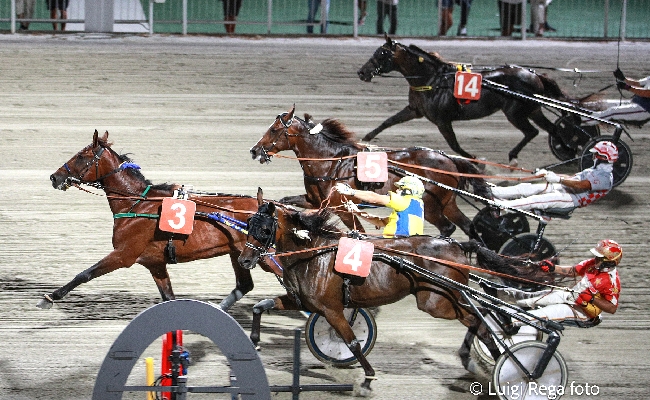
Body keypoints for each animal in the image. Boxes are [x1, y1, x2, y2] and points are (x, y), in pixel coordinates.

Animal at [40, 130, 274, 310]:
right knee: (244, 285)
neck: (136, 205)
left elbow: (84, 275)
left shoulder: (124, 254)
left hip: (265, 256)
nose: (54, 177)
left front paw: (50, 297)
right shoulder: (155, 264)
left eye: (81, 155)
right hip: (240, 254)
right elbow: (168, 297)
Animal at [234, 189, 540, 392]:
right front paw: (255, 340)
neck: (312, 254)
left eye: (264, 229)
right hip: (446, 298)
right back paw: (489, 352)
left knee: (479, 317)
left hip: (437, 301)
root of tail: (457, 245)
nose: (245, 260)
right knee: (480, 316)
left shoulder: (331, 308)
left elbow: (352, 343)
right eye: (248, 224)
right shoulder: (301, 301)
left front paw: (368, 377)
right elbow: (260, 306)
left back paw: (507, 357)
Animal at [249, 104, 492, 239]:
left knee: (448, 227)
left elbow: (360, 232)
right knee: (468, 227)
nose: (254, 150)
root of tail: (449, 159)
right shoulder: (314, 200)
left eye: (274, 130)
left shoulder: (344, 209)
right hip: (448, 203)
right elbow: (286, 200)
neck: (329, 162)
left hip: (430, 206)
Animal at [354, 36, 568, 164]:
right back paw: (567, 153)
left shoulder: (442, 120)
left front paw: (475, 159)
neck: (432, 79)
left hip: (515, 112)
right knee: (552, 129)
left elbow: (454, 145)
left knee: (532, 131)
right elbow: (388, 121)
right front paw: (365, 139)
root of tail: (534, 75)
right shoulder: (415, 110)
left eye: (382, 54)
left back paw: (514, 156)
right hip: (533, 110)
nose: (362, 72)